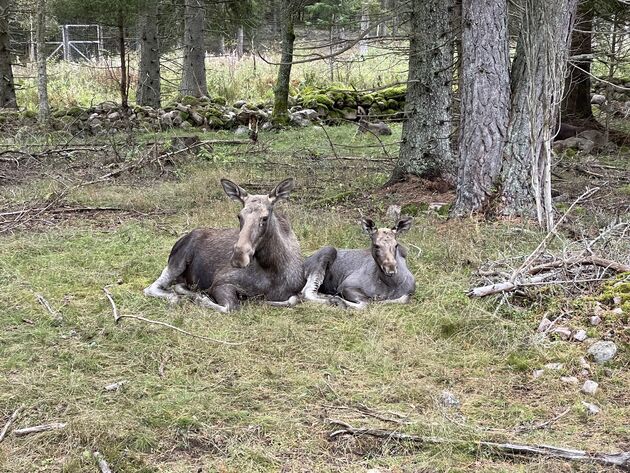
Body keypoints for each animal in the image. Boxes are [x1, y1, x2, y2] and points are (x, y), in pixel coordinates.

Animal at [147, 176, 308, 310]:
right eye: (239, 216)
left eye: (264, 217)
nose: (239, 257)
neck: (273, 269)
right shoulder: (221, 282)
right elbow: (230, 307)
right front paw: (202, 299)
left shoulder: (296, 291)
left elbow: (293, 299)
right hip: (176, 263)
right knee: (152, 288)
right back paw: (179, 297)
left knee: (178, 285)